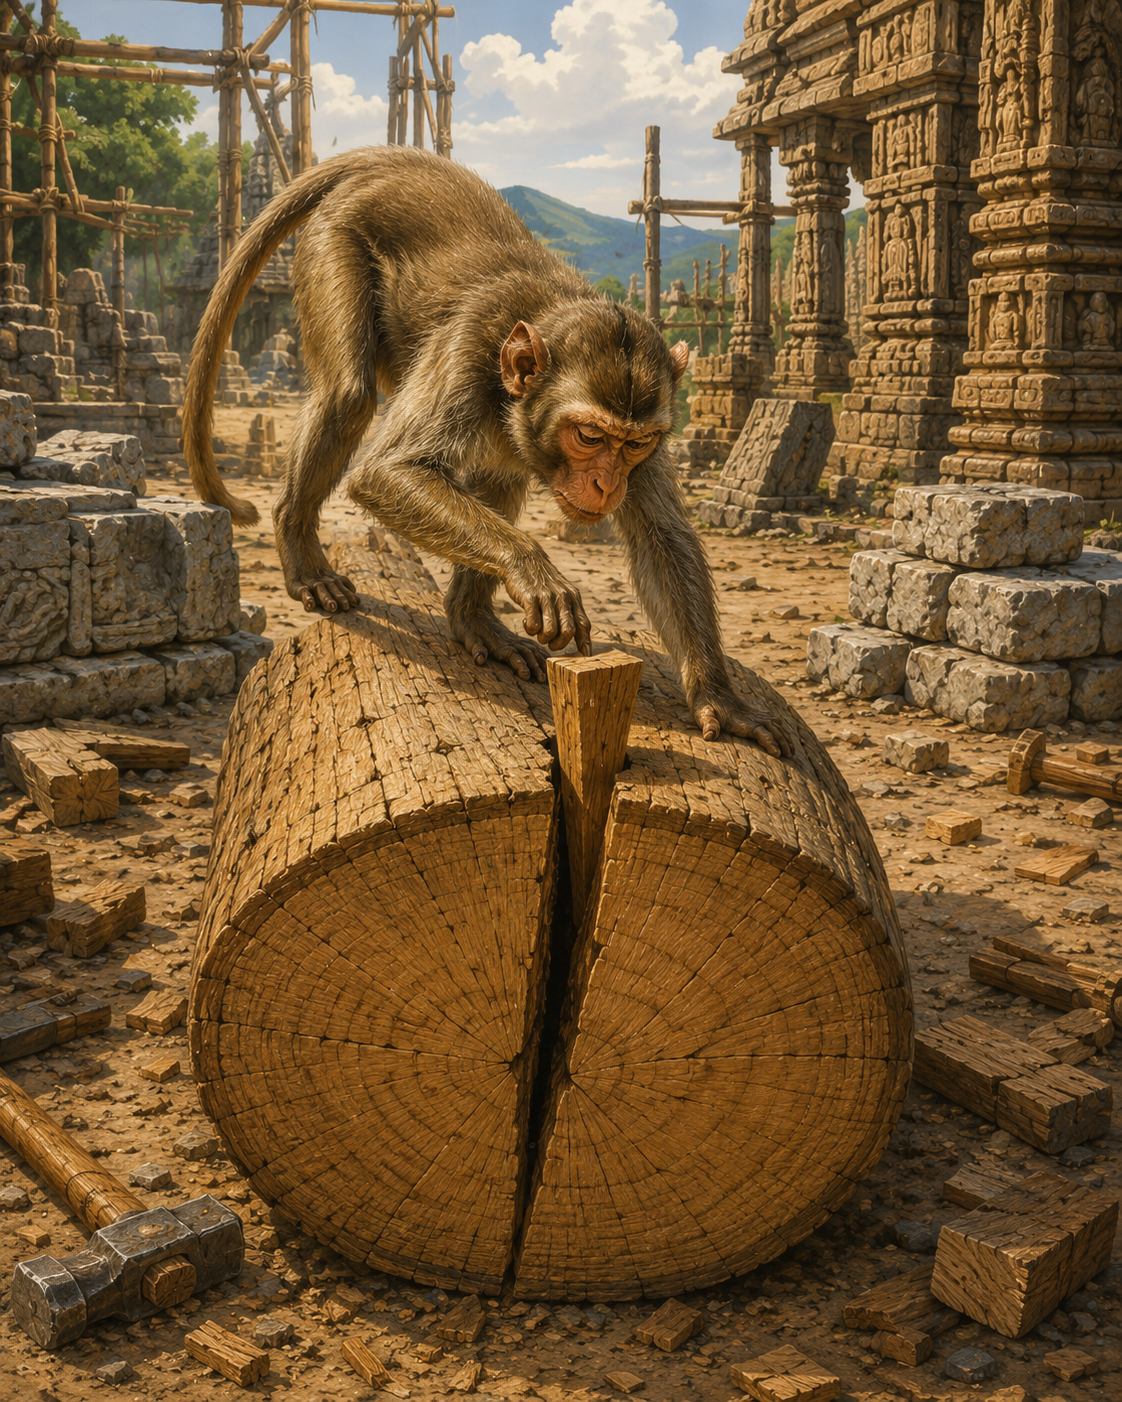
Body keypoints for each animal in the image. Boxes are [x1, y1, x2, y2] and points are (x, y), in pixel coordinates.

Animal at [184, 146, 790, 754]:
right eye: (590, 436)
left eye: (634, 443)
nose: (606, 483)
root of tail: (384, 160)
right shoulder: (467, 343)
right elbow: (386, 472)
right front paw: (533, 569)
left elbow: (662, 537)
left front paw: (720, 697)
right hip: (334, 237)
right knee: (348, 395)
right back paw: (300, 545)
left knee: (502, 470)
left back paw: (471, 618)